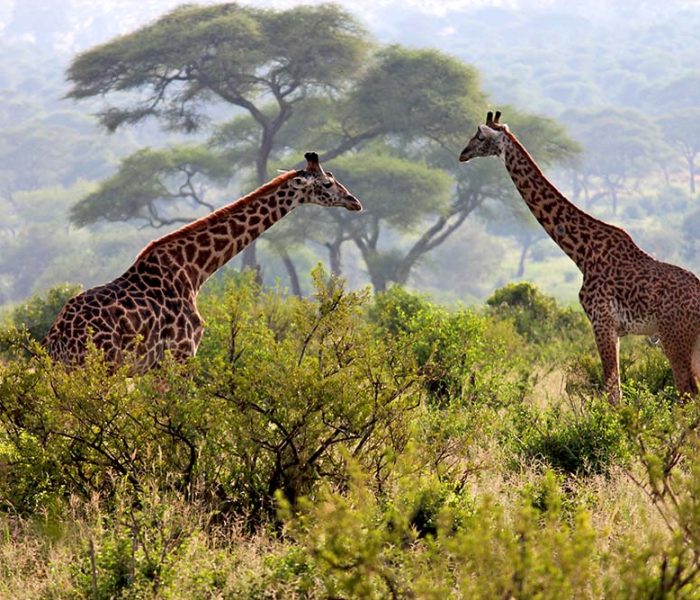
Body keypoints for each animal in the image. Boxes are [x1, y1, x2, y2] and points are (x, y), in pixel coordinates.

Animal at [44, 152, 362, 373]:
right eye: (327, 183)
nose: (354, 201)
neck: (194, 270)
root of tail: (57, 339)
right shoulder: (181, 354)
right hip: (98, 368)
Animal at [459, 111, 700, 403]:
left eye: (480, 136)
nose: (462, 154)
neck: (582, 252)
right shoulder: (611, 327)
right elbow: (614, 390)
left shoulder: (603, 322)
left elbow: (612, 392)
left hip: (675, 337)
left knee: (687, 392)